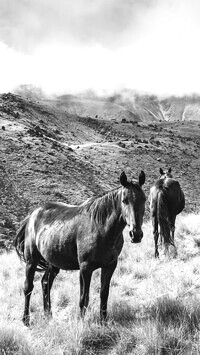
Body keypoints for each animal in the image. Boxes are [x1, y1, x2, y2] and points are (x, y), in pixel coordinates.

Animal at [14, 171, 145, 326]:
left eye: (144, 199)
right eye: (124, 200)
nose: (136, 234)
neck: (100, 227)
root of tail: (32, 216)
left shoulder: (110, 265)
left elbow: (104, 294)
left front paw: (103, 321)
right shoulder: (85, 268)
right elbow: (84, 298)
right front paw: (82, 324)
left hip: (53, 263)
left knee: (46, 283)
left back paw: (48, 315)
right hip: (31, 261)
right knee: (28, 288)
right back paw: (26, 320)